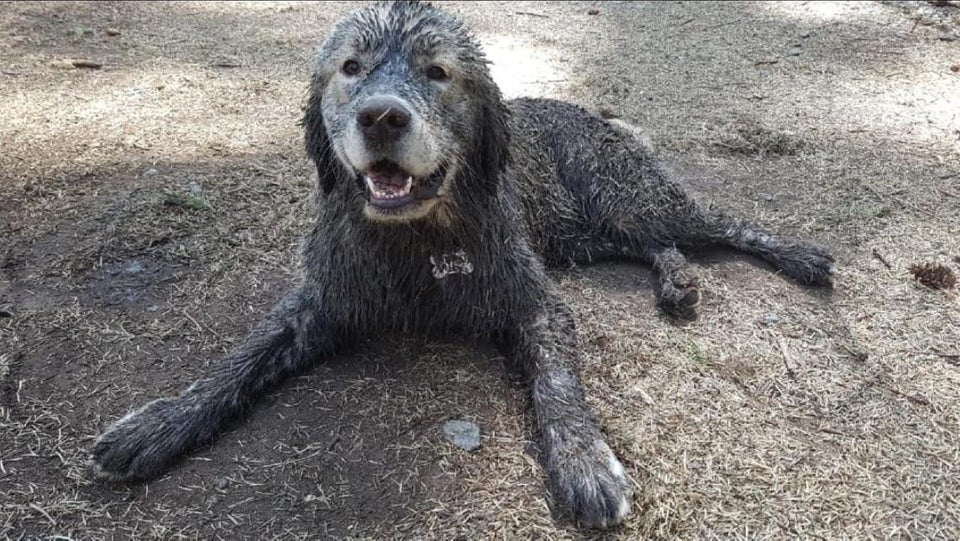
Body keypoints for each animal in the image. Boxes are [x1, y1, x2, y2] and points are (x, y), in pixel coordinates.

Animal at [94, 1, 836, 528]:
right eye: (351, 68)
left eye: (437, 72)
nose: (381, 118)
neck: (416, 242)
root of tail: (602, 117)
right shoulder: (319, 303)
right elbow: (238, 359)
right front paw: (162, 421)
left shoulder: (534, 302)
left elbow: (559, 385)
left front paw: (585, 460)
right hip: (586, 233)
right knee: (658, 245)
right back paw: (678, 281)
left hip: (626, 198)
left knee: (715, 224)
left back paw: (798, 254)